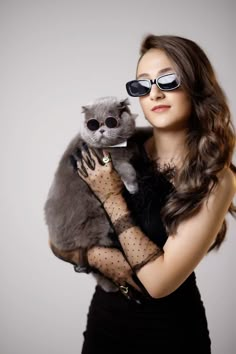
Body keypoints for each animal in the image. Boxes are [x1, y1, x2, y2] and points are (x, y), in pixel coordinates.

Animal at [44, 96, 138, 290]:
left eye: (111, 121)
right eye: (92, 123)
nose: (101, 129)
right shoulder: (115, 161)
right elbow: (127, 171)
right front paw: (133, 187)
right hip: (97, 221)